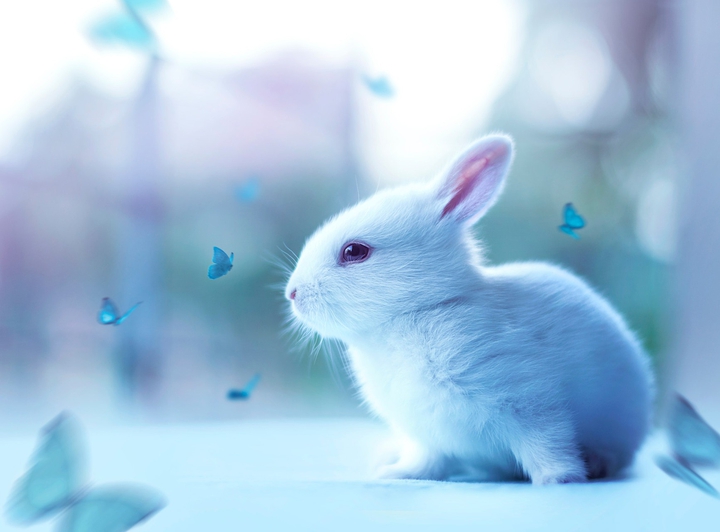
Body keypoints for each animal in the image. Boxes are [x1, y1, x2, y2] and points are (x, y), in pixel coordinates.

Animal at [285, 134, 654, 485]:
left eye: (354, 251)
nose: (292, 293)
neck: (418, 311)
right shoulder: (428, 437)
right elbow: (428, 461)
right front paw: (398, 473)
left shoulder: (531, 402)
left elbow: (549, 444)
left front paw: (560, 479)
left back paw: (598, 462)